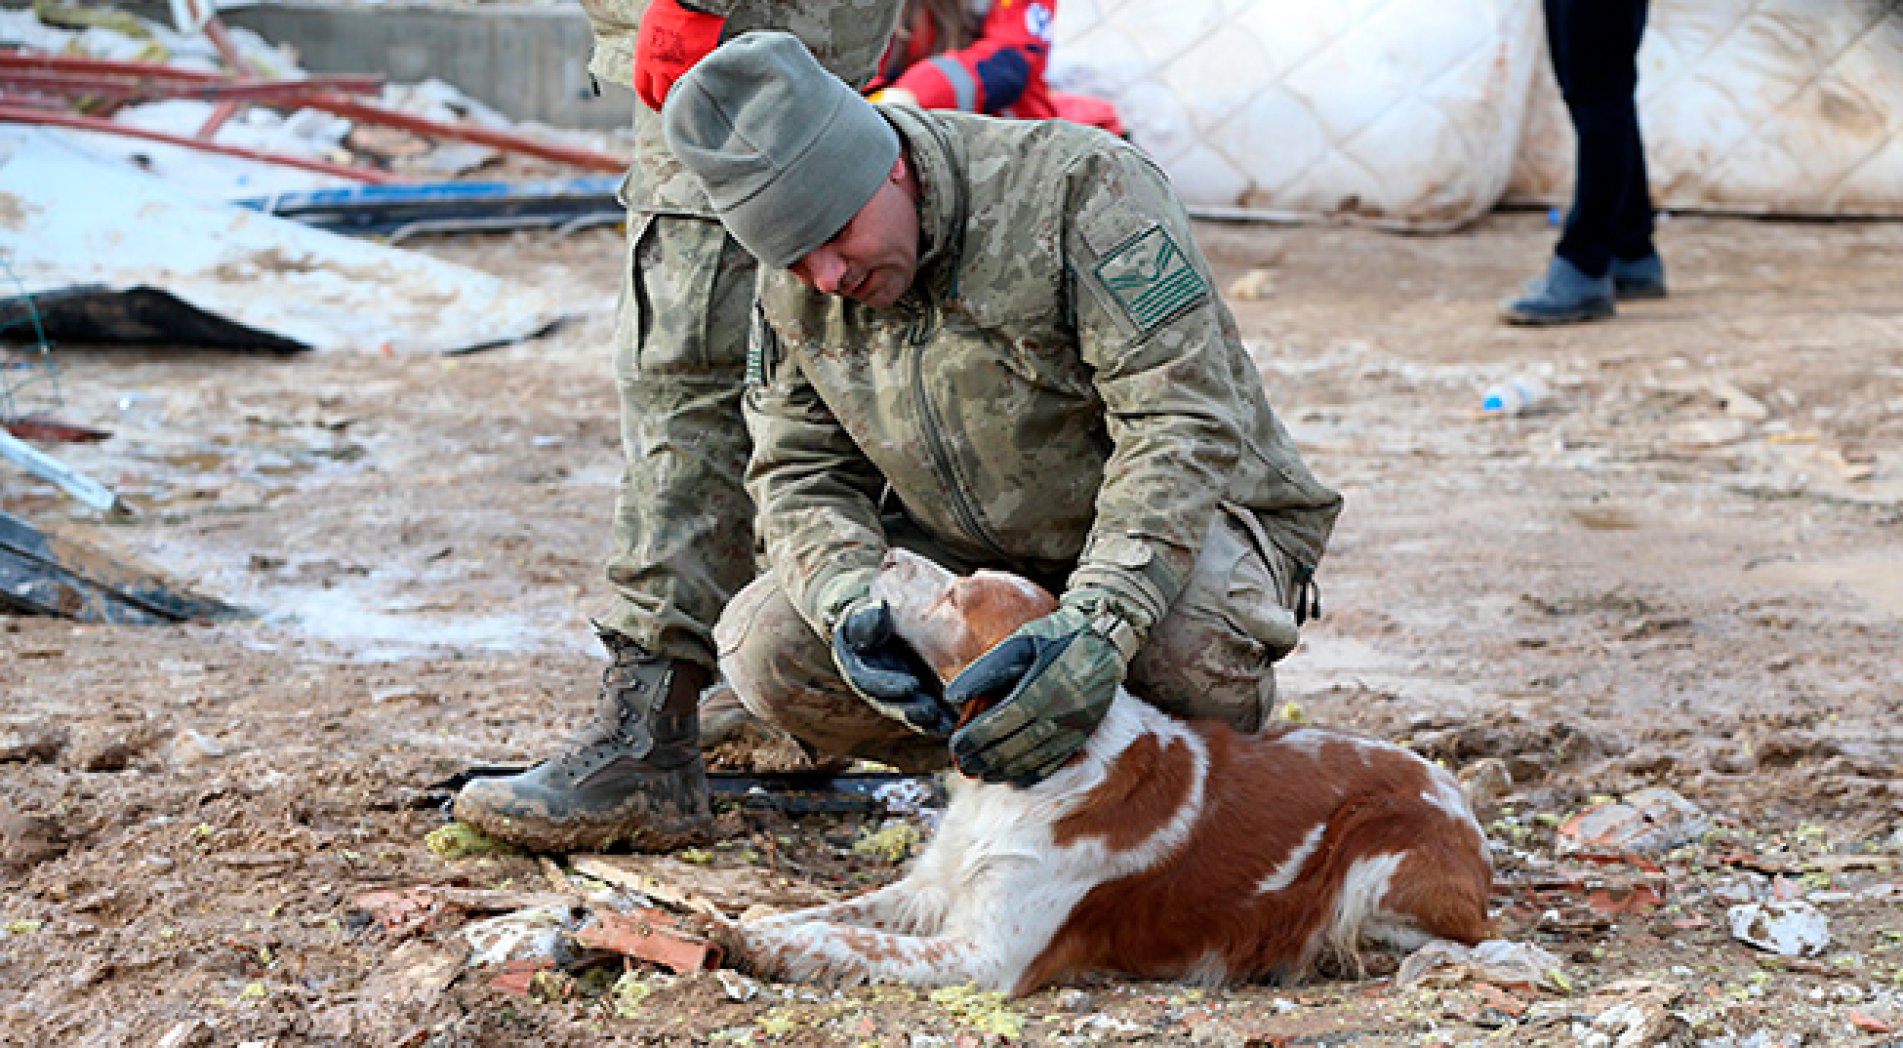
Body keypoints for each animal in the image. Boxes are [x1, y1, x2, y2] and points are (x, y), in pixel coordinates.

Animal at [734, 555, 1491, 996]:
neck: (1043, 771)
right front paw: (752, 924)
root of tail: (1456, 796)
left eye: (957, 599)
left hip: (1374, 862)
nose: (887, 552)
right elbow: (827, 916)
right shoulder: (931, 889)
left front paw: (752, 945)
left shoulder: (989, 954)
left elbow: (841, 937)